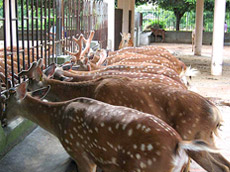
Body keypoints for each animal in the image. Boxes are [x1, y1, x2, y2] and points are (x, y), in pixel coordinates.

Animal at [16, 59, 230, 172]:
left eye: (30, 82)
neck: (92, 89)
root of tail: (216, 114)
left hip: (192, 133)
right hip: (204, 139)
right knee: (223, 165)